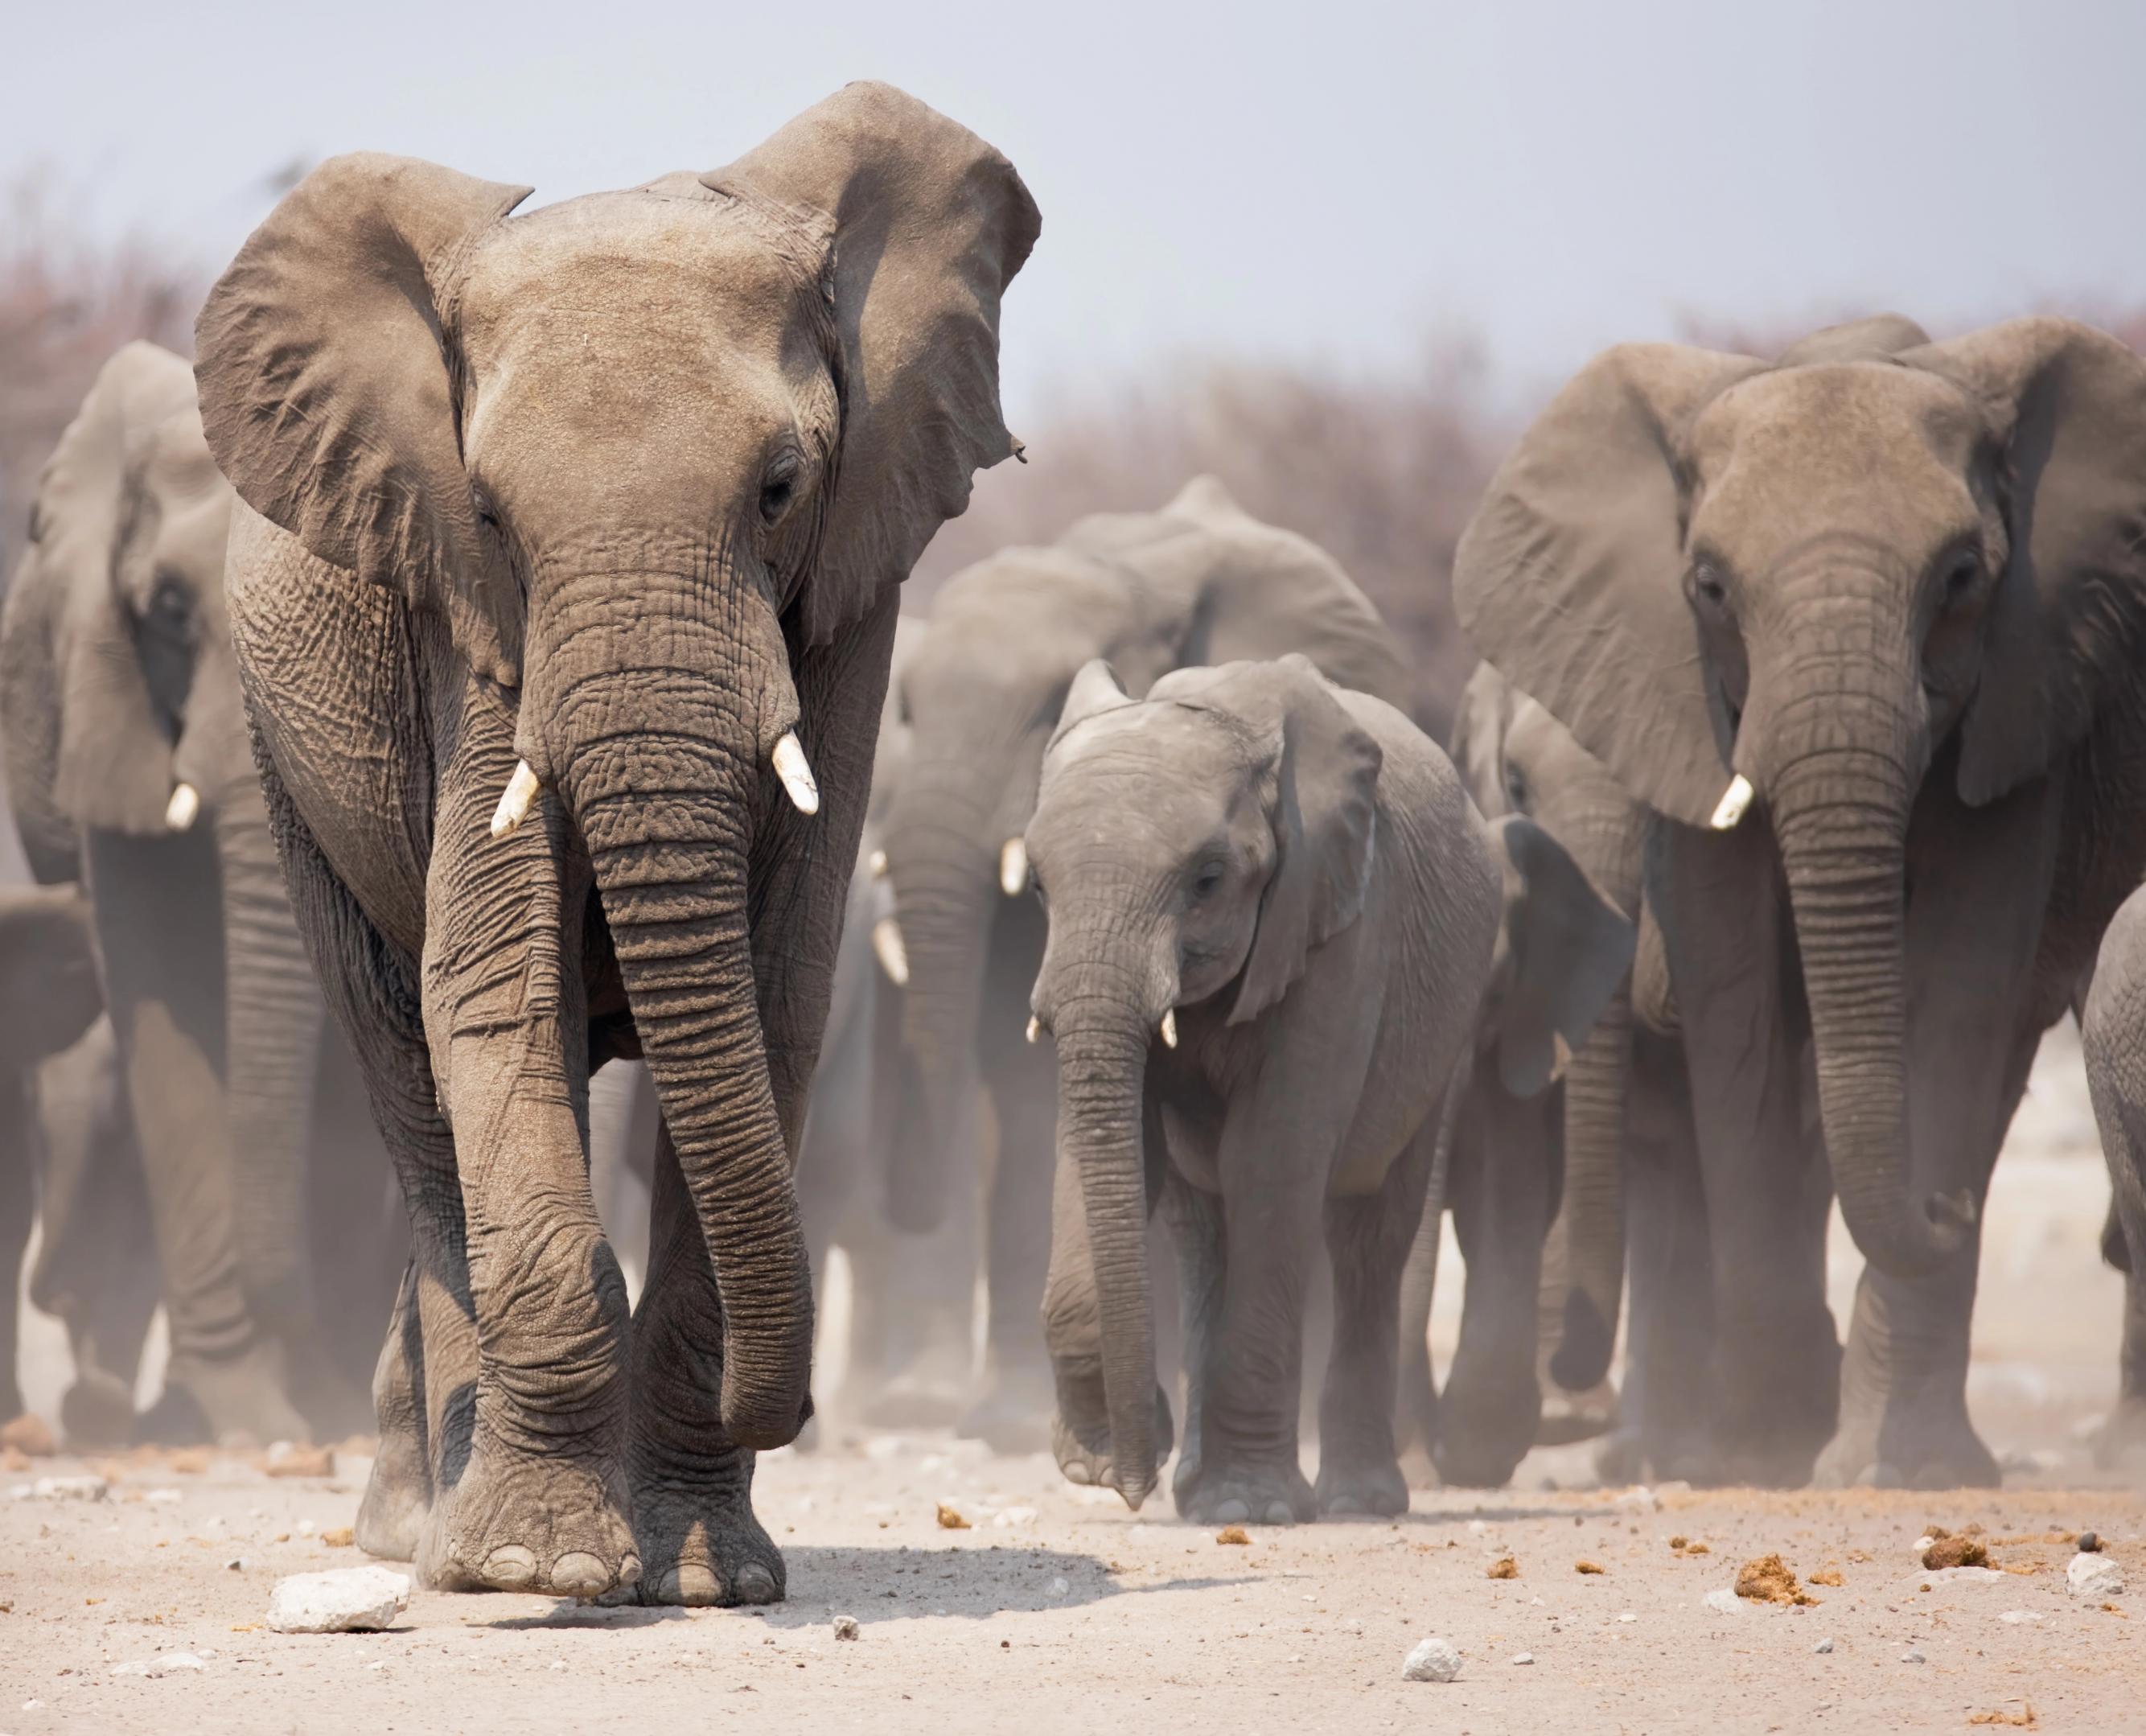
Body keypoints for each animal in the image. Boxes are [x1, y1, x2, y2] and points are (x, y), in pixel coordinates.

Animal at [1026, 652, 1502, 1519]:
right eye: (1039, 887)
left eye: (1209, 879)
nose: (1133, 1485)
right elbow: (1107, 1148)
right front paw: (1099, 1462)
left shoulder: (1342, 927)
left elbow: (1271, 1161)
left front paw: (1252, 1509)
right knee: (1200, 1229)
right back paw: (1200, 1490)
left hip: (1445, 1021)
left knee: (1369, 1237)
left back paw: (1353, 1502)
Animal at [1459, 315, 2146, 1493]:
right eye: (1708, 586)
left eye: (1961, 578)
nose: (1947, 1204)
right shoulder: (1686, 707)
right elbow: (1732, 994)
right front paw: (1763, 1448)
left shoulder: (2023, 696)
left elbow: (1960, 989)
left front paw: (1891, 1469)